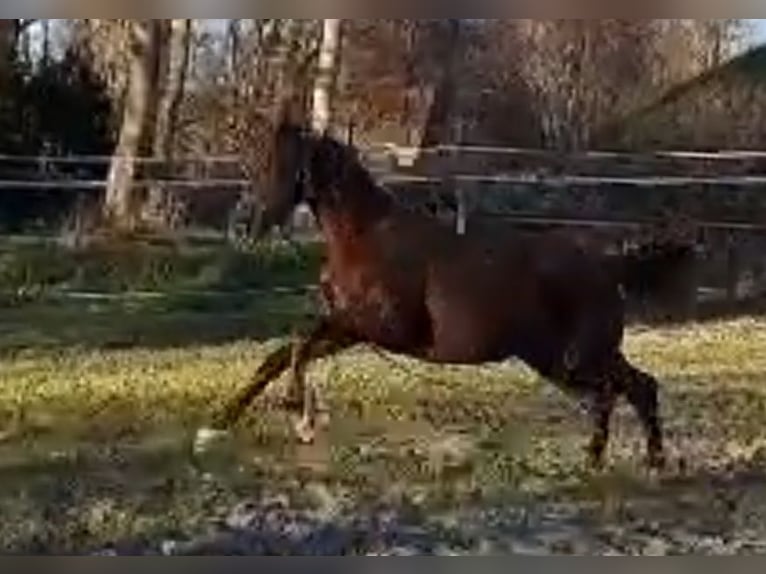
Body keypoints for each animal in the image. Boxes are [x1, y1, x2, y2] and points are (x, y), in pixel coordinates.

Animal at [203, 118, 692, 471]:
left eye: (275, 163)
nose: (244, 222)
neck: (366, 237)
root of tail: (607, 265)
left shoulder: (378, 328)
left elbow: (298, 347)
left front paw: (297, 410)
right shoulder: (350, 327)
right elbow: (281, 353)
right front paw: (218, 425)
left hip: (574, 358)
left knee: (622, 391)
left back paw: (636, 461)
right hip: (567, 358)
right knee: (631, 388)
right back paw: (614, 461)